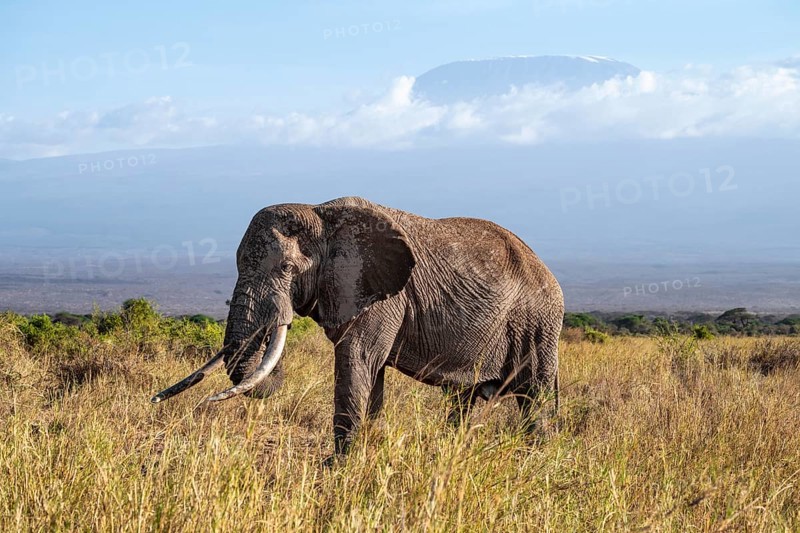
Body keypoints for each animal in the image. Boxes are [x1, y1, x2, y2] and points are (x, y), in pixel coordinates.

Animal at [152, 196, 564, 454]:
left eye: (286, 268)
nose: (155, 399)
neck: (319, 213)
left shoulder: (382, 293)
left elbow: (358, 359)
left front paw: (338, 466)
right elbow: (371, 372)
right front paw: (366, 453)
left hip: (539, 324)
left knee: (536, 397)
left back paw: (535, 458)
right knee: (470, 400)